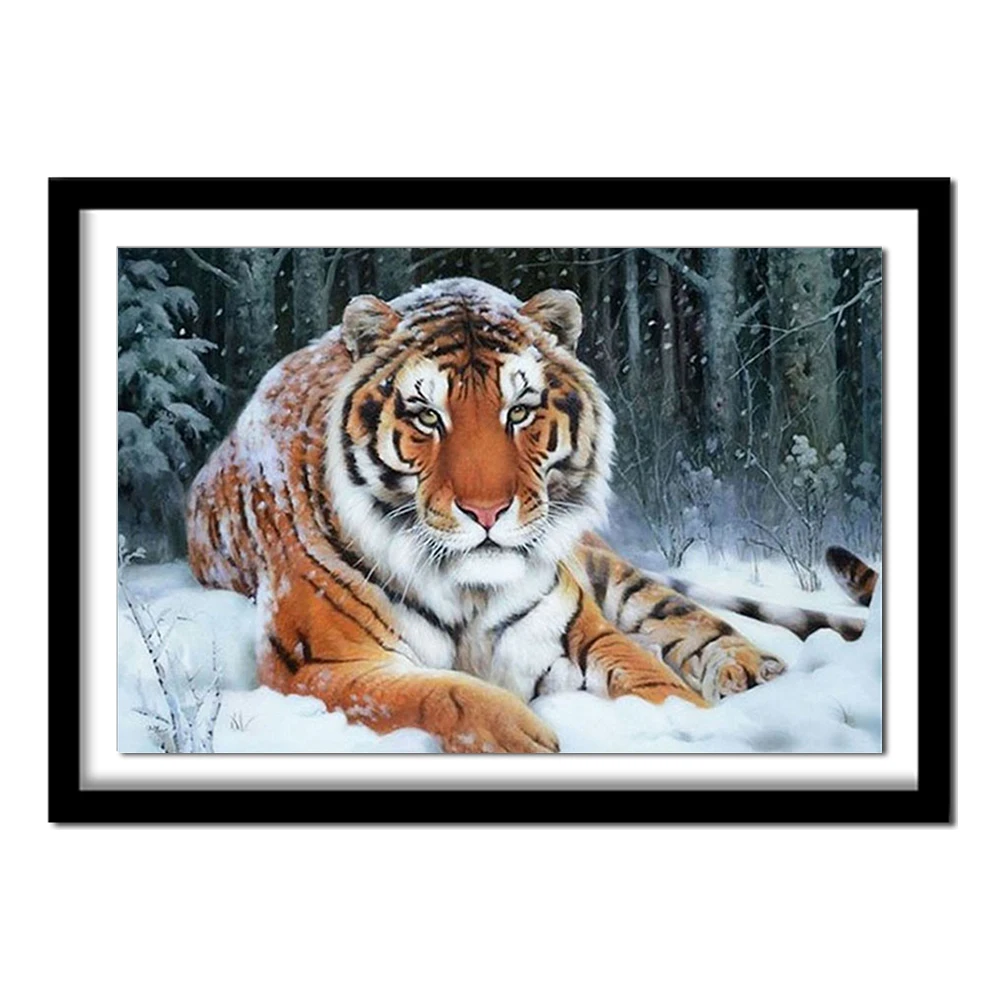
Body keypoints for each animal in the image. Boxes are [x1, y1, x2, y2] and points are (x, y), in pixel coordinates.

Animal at [187, 277, 787, 753]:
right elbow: (440, 694)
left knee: (677, 612)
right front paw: (526, 738)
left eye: (518, 411)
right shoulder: (318, 666)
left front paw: (696, 727)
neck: (467, 591)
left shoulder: (572, 630)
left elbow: (653, 679)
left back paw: (751, 670)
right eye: (428, 417)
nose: (487, 511)